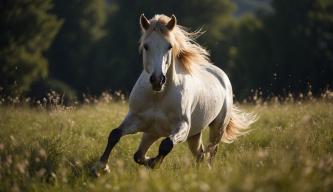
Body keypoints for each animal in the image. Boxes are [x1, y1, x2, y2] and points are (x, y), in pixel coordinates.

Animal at [92, 13, 255, 176]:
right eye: (146, 46)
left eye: (169, 46)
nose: (157, 80)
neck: (158, 96)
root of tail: (222, 76)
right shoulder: (136, 119)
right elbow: (115, 135)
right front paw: (101, 167)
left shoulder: (182, 126)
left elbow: (166, 144)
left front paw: (155, 163)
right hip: (176, 133)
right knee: (197, 154)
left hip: (216, 129)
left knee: (210, 152)